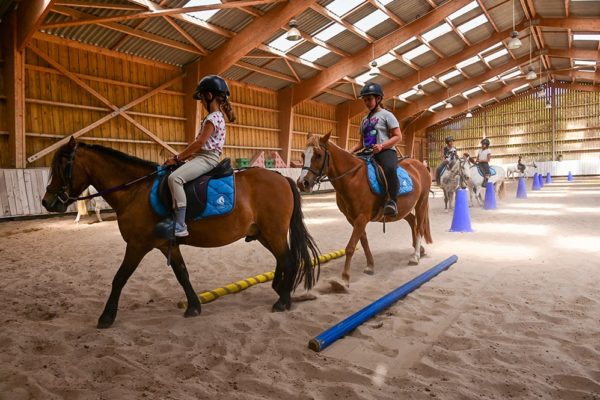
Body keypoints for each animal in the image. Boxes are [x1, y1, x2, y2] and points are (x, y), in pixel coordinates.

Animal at [42, 138, 322, 328]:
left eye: (62, 167)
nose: (47, 202)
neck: (135, 191)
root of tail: (282, 178)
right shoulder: (168, 245)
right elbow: (182, 274)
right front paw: (194, 307)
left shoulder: (137, 245)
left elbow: (119, 278)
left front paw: (106, 316)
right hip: (264, 233)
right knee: (282, 259)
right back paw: (279, 289)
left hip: (273, 232)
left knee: (288, 259)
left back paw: (282, 301)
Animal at [296, 133, 432, 286]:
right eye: (303, 155)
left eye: (318, 155)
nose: (302, 183)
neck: (353, 178)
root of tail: (420, 165)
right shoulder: (352, 218)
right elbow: (363, 241)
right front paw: (370, 266)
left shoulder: (362, 217)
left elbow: (350, 247)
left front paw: (344, 278)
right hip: (403, 209)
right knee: (412, 221)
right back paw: (419, 249)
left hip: (421, 202)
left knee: (419, 227)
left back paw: (415, 256)